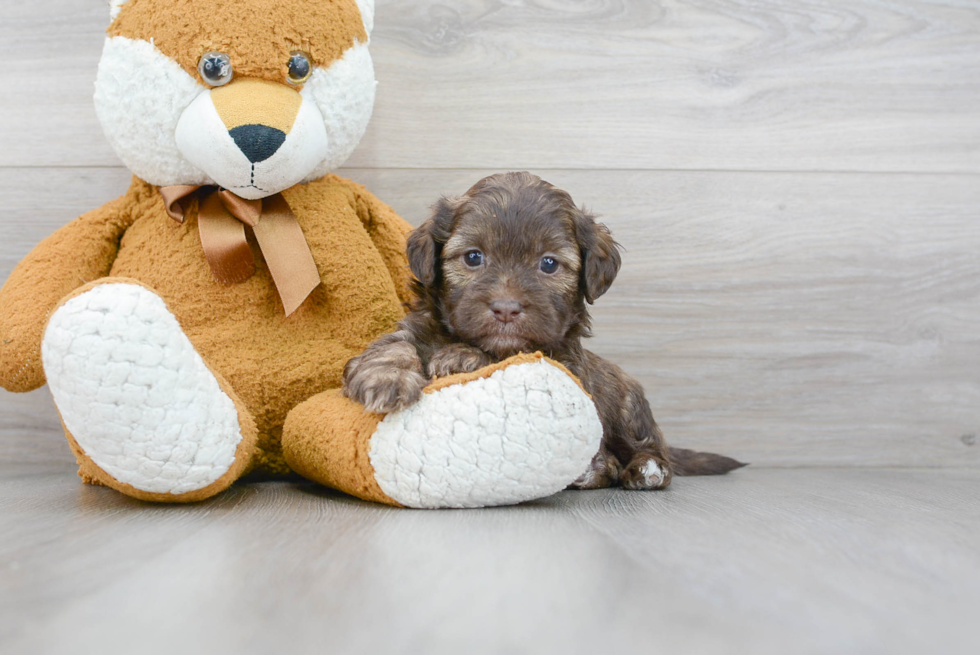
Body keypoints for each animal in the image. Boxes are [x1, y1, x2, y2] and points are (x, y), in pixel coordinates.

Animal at [344, 172, 744, 490]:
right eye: (473, 257)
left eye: (549, 264)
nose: (506, 308)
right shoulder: (416, 328)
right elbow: (393, 345)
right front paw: (386, 378)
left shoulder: (560, 362)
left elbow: (508, 355)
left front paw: (462, 357)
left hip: (629, 405)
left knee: (648, 447)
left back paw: (644, 468)